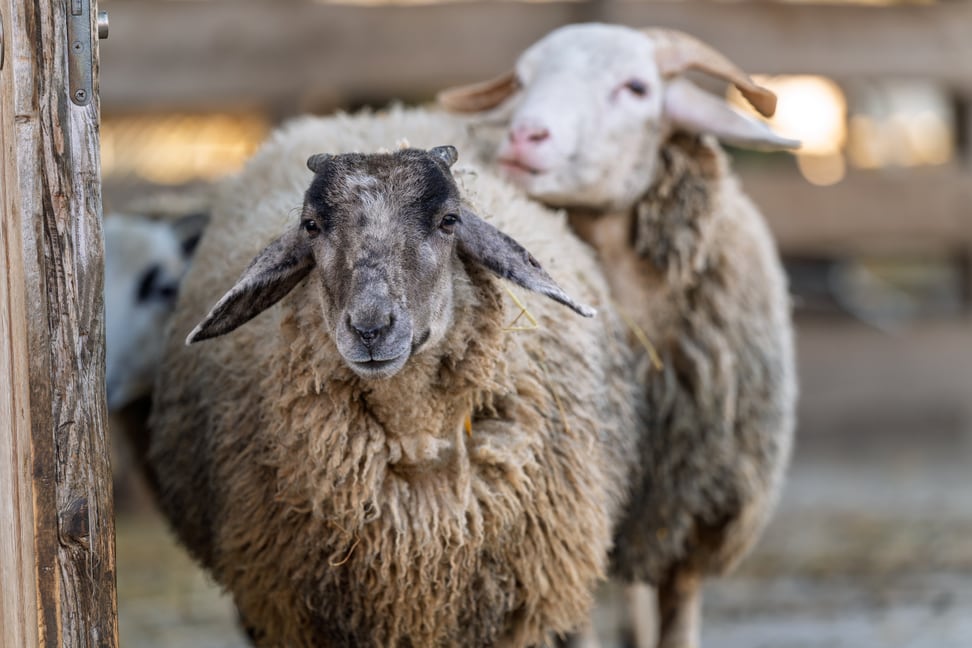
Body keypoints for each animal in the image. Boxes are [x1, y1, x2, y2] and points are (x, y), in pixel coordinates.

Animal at [440, 23, 799, 648]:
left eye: (636, 88)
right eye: (523, 81)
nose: (524, 135)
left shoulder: (689, 515)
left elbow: (677, 621)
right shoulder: (569, 530)